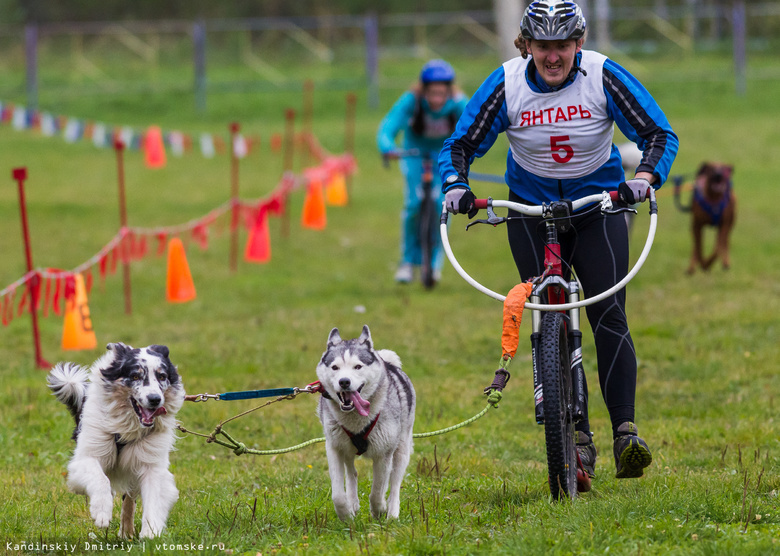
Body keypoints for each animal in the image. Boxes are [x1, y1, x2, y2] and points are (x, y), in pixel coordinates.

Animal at [48, 344, 185, 540]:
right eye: (135, 376)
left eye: (162, 376)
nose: (155, 399)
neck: (127, 426)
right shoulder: (85, 458)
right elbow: (100, 480)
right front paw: (101, 512)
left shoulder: (151, 464)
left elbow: (153, 499)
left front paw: (150, 535)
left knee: (129, 499)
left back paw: (126, 532)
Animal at [316, 326, 418, 520]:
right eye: (335, 367)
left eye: (357, 366)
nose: (344, 381)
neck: (355, 418)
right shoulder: (334, 447)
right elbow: (338, 495)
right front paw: (346, 515)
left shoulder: (384, 453)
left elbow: (377, 491)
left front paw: (379, 510)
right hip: (346, 449)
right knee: (352, 472)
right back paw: (353, 502)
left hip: (401, 449)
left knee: (395, 482)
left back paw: (392, 513)